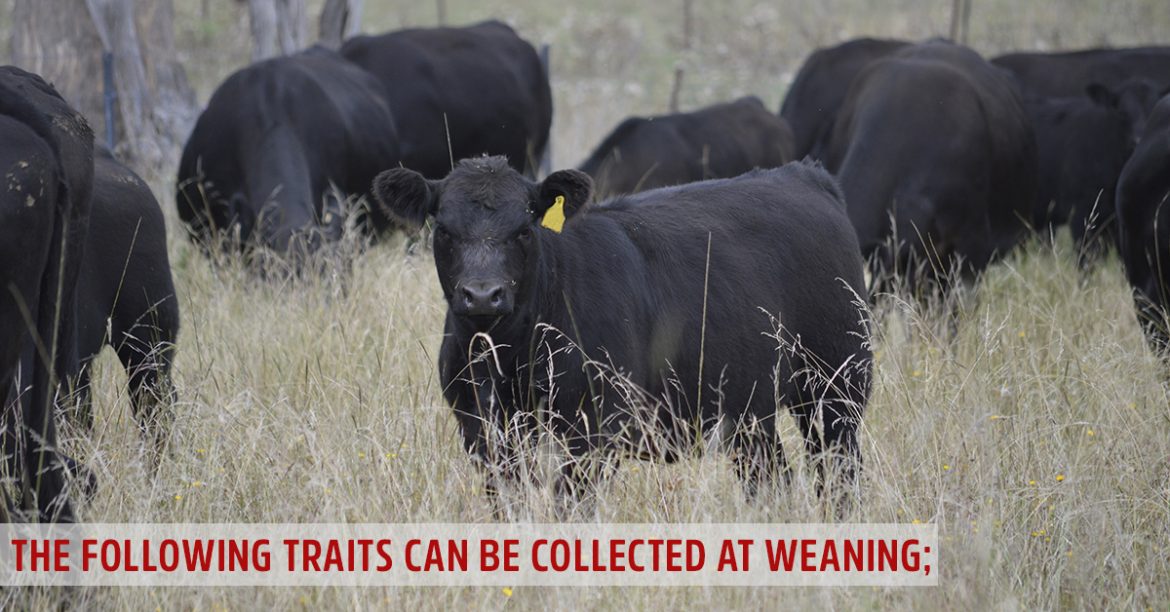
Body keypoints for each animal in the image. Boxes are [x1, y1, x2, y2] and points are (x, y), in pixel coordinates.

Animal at [373, 156, 872, 514]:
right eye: (444, 229)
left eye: (525, 228)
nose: (482, 294)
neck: (511, 357)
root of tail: (801, 175)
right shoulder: (482, 429)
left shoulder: (593, 429)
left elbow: (571, 507)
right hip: (751, 408)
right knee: (771, 478)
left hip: (837, 386)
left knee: (838, 474)